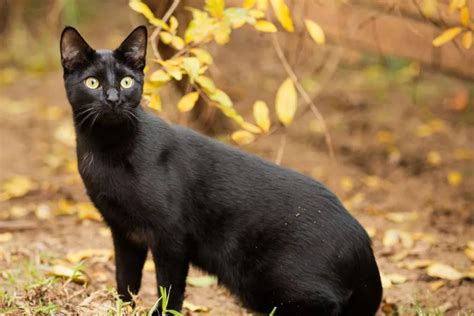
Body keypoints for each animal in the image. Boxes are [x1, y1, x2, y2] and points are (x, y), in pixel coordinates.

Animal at [61, 25, 384, 314]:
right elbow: (126, 282)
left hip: (272, 279)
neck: (106, 151)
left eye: (127, 82)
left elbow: (170, 291)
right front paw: (121, 308)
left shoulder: (171, 236)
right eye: (92, 83)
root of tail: (364, 248)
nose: (113, 99)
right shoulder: (124, 232)